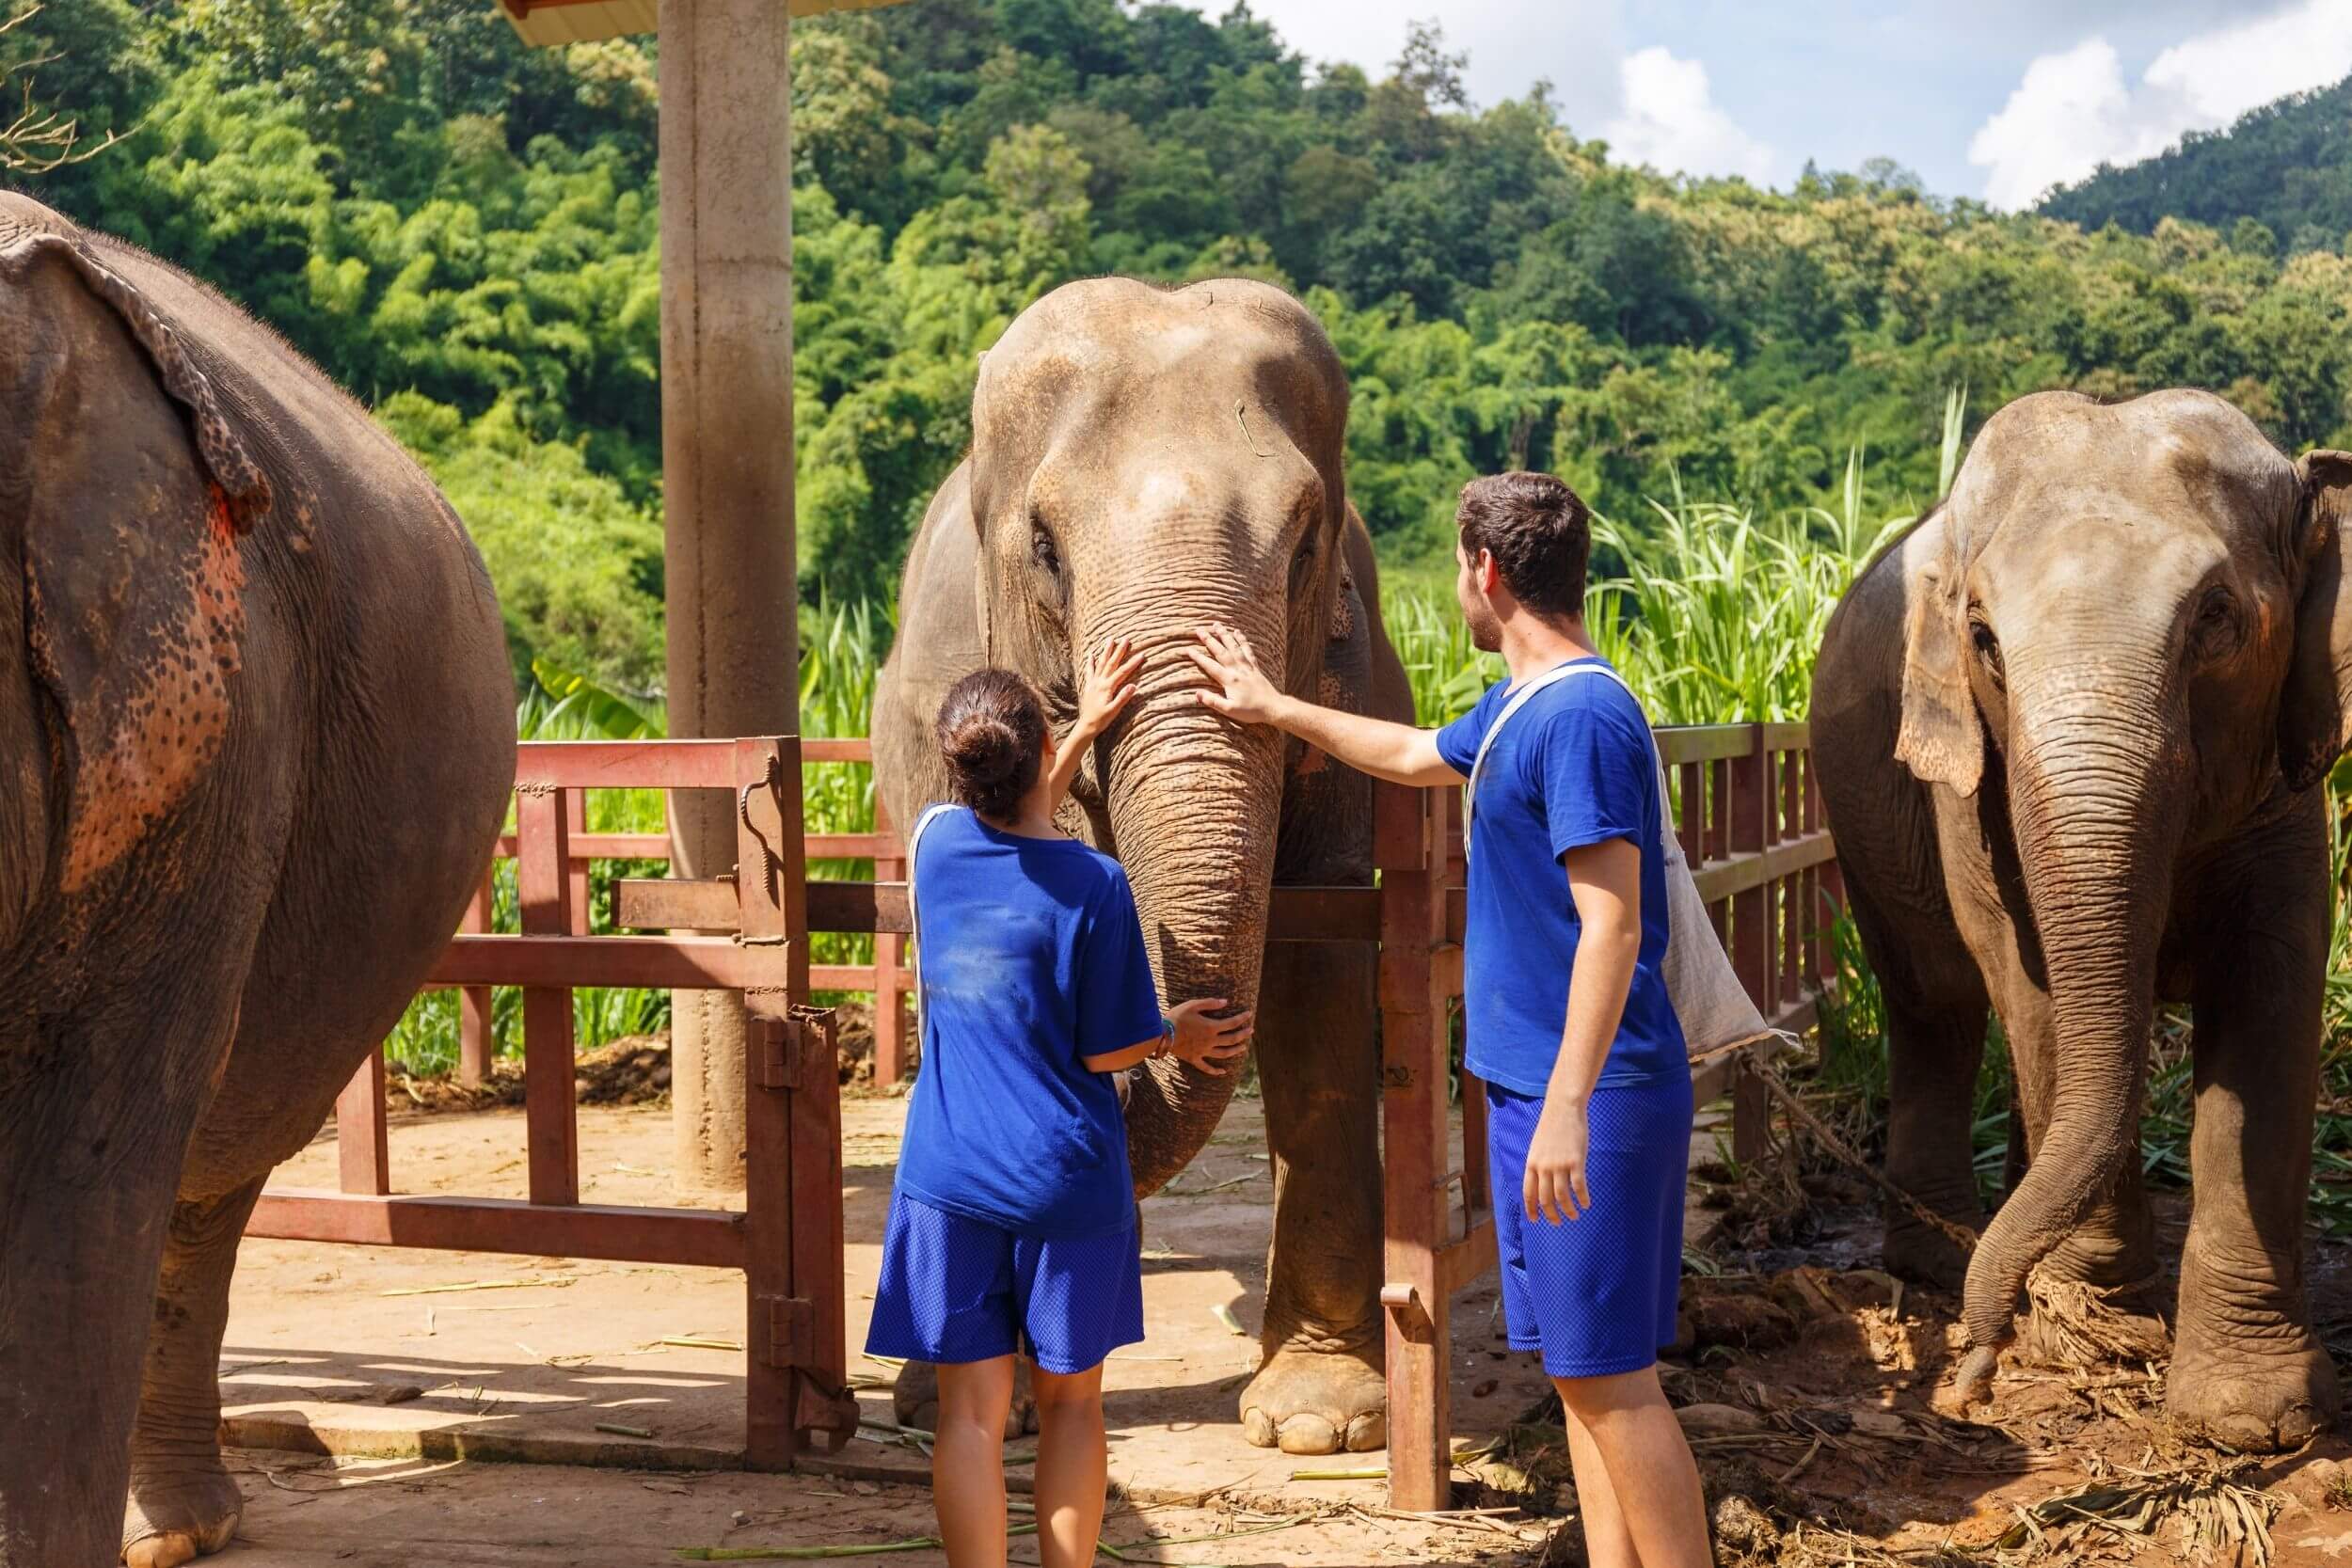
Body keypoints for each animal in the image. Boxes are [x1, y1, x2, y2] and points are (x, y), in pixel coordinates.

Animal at [1806, 389, 2343, 1448]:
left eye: (2216, 617)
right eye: (1981, 636)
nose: (1972, 1374)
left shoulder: (2288, 788)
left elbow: (2274, 986)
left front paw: (2250, 1419)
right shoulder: (1970, 785)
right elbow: (2029, 980)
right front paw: (2098, 1335)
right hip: (1861, 815)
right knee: (1936, 1007)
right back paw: (1941, 1259)